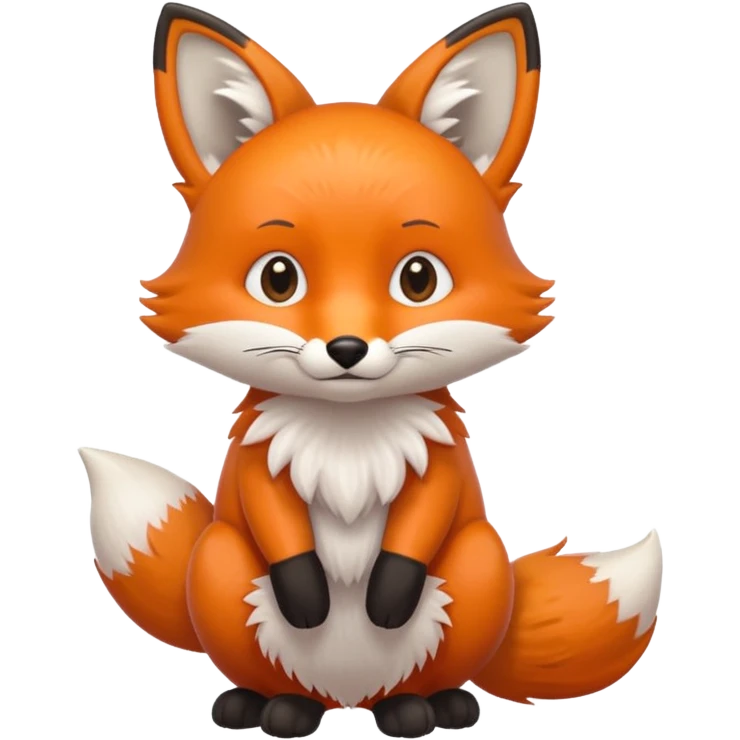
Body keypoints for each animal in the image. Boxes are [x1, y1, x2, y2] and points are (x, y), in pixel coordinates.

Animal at [78, 2, 663, 738]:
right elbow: (273, 520)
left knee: (425, 674)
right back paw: (272, 706)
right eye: (278, 279)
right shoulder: (258, 466)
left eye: (418, 279)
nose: (347, 348)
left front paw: (388, 594)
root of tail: (348, 698)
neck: (348, 437)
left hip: (478, 565)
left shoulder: (441, 468)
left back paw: (425, 707)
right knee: (273, 673)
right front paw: (306, 592)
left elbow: (422, 522)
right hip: (218, 566)